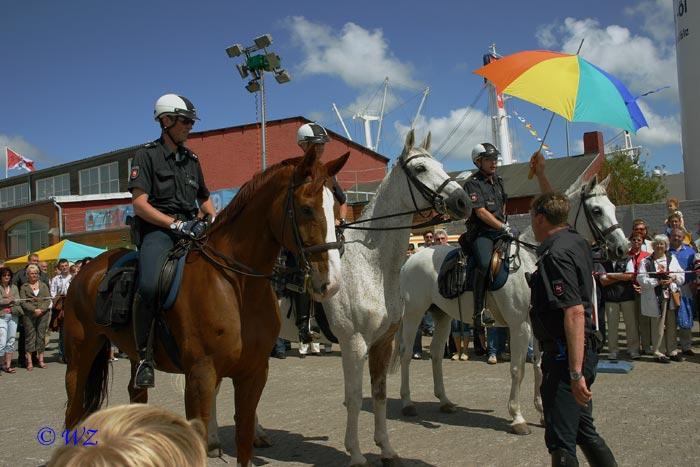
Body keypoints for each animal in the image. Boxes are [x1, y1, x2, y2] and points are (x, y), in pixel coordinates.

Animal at [64, 148, 348, 466]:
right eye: (307, 208)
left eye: (336, 205)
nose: (332, 282)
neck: (237, 286)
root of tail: (89, 269)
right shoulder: (200, 377)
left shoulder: (254, 373)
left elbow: (244, 436)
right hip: (80, 357)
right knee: (72, 412)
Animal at [394, 174, 628, 436]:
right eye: (597, 210)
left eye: (613, 208)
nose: (623, 248)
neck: (529, 260)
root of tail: (411, 259)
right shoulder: (519, 326)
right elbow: (518, 369)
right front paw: (517, 417)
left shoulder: (537, 326)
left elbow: (538, 366)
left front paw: (542, 412)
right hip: (413, 315)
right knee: (405, 353)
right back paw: (407, 402)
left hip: (442, 316)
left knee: (435, 353)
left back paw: (444, 401)